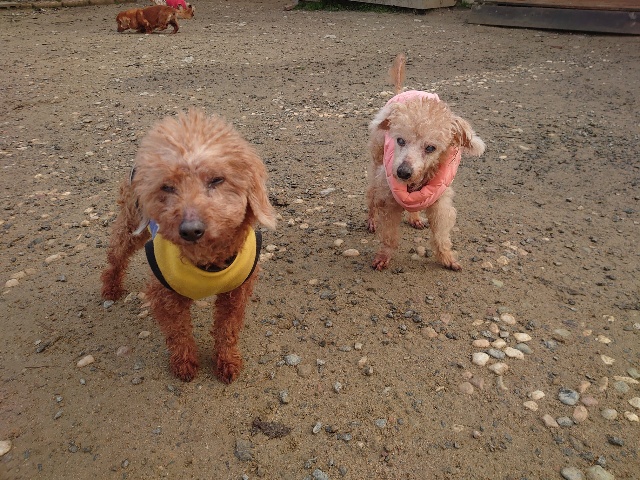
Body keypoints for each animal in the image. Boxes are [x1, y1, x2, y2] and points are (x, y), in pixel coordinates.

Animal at [101, 110, 276, 383]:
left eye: (217, 180)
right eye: (167, 187)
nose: (191, 230)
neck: (207, 262)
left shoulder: (236, 293)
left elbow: (227, 330)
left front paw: (227, 362)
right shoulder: (166, 295)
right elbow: (179, 332)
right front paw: (184, 364)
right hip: (132, 221)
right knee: (116, 253)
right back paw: (110, 287)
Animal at [366, 54, 485, 271]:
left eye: (430, 148)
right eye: (400, 140)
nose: (403, 172)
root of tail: (402, 94)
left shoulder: (440, 201)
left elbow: (441, 234)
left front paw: (447, 258)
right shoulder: (389, 198)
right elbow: (389, 235)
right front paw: (384, 256)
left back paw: (414, 218)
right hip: (376, 166)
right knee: (371, 195)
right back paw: (371, 220)